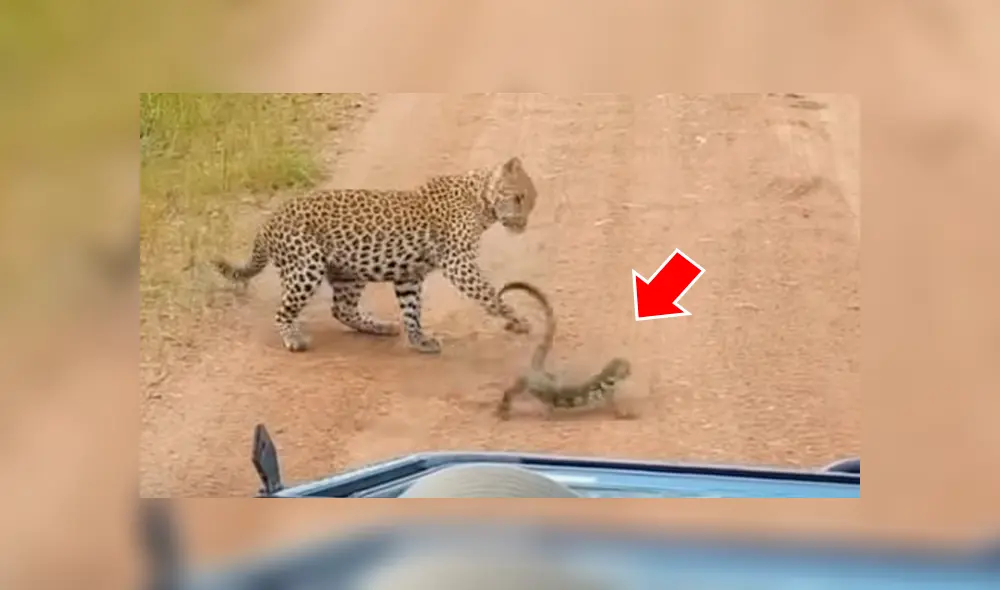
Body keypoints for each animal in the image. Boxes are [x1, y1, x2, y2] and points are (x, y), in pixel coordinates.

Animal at [212, 156, 538, 354]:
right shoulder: (458, 261)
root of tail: (269, 222)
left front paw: (419, 340)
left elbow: (412, 310)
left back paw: (381, 327)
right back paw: (293, 338)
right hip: (306, 266)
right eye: (518, 198)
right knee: (284, 310)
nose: (523, 224)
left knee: (341, 309)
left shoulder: (409, 275)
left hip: (349, 271)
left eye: (531, 202)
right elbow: (488, 293)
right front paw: (516, 319)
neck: (481, 201)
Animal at [494, 281, 636, 421]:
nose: (630, 372)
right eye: (627, 368)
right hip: (530, 383)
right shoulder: (608, 393)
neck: (607, 378)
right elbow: (617, 411)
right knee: (514, 390)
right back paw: (504, 407)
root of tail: (538, 371)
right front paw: (630, 414)